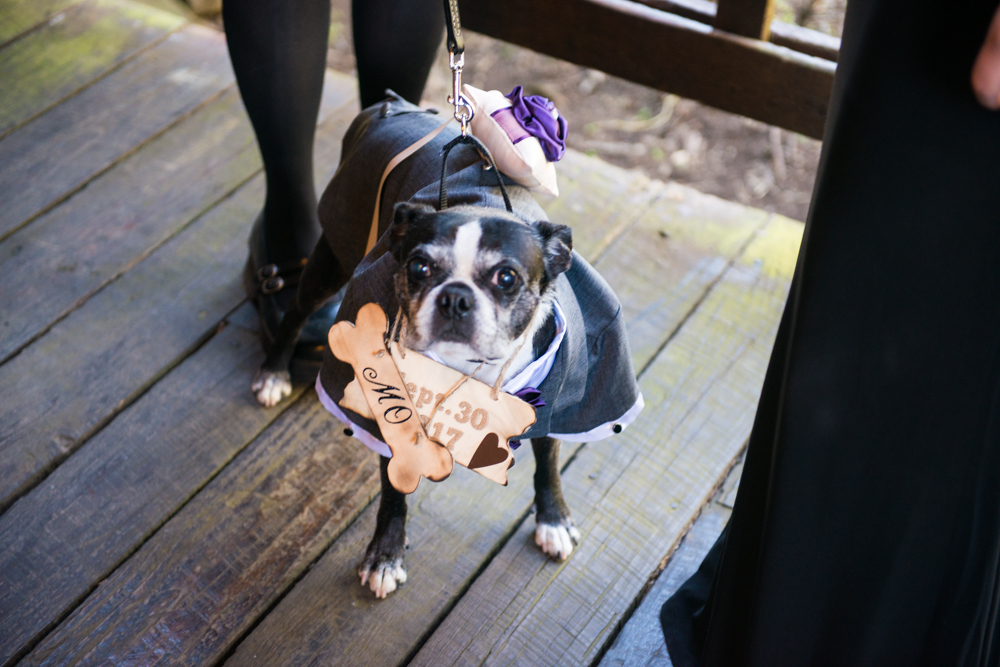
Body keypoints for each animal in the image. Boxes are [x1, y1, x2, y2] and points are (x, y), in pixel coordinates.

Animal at [250, 95, 640, 600]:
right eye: (418, 267)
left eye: (507, 278)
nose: (455, 297)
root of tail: (391, 106)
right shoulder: (391, 411)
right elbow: (394, 491)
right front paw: (384, 556)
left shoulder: (557, 402)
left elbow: (549, 465)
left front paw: (553, 520)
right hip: (329, 257)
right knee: (295, 314)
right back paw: (273, 372)